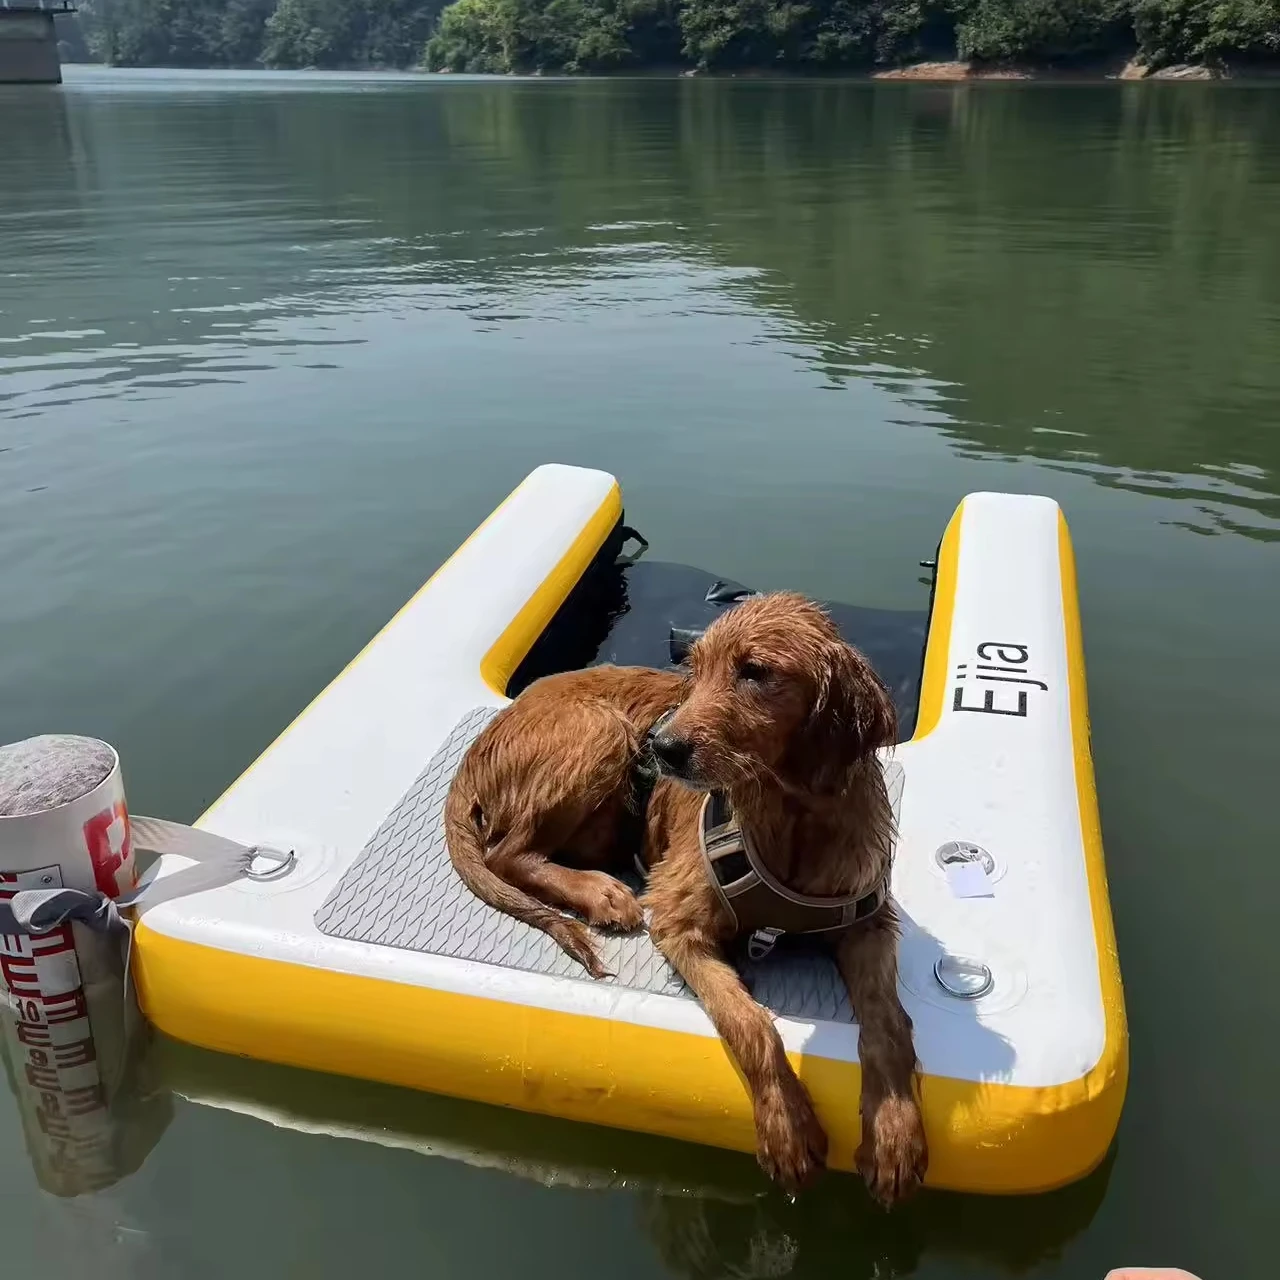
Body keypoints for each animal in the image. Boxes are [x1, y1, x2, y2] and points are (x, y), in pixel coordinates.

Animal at [445, 593, 926, 1203]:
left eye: (755, 672)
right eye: (694, 668)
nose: (663, 747)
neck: (791, 818)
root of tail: (484, 739)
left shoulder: (867, 922)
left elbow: (888, 1024)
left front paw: (894, 1133)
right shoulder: (679, 922)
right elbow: (751, 1024)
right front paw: (787, 1128)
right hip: (599, 729)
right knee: (508, 854)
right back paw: (601, 892)